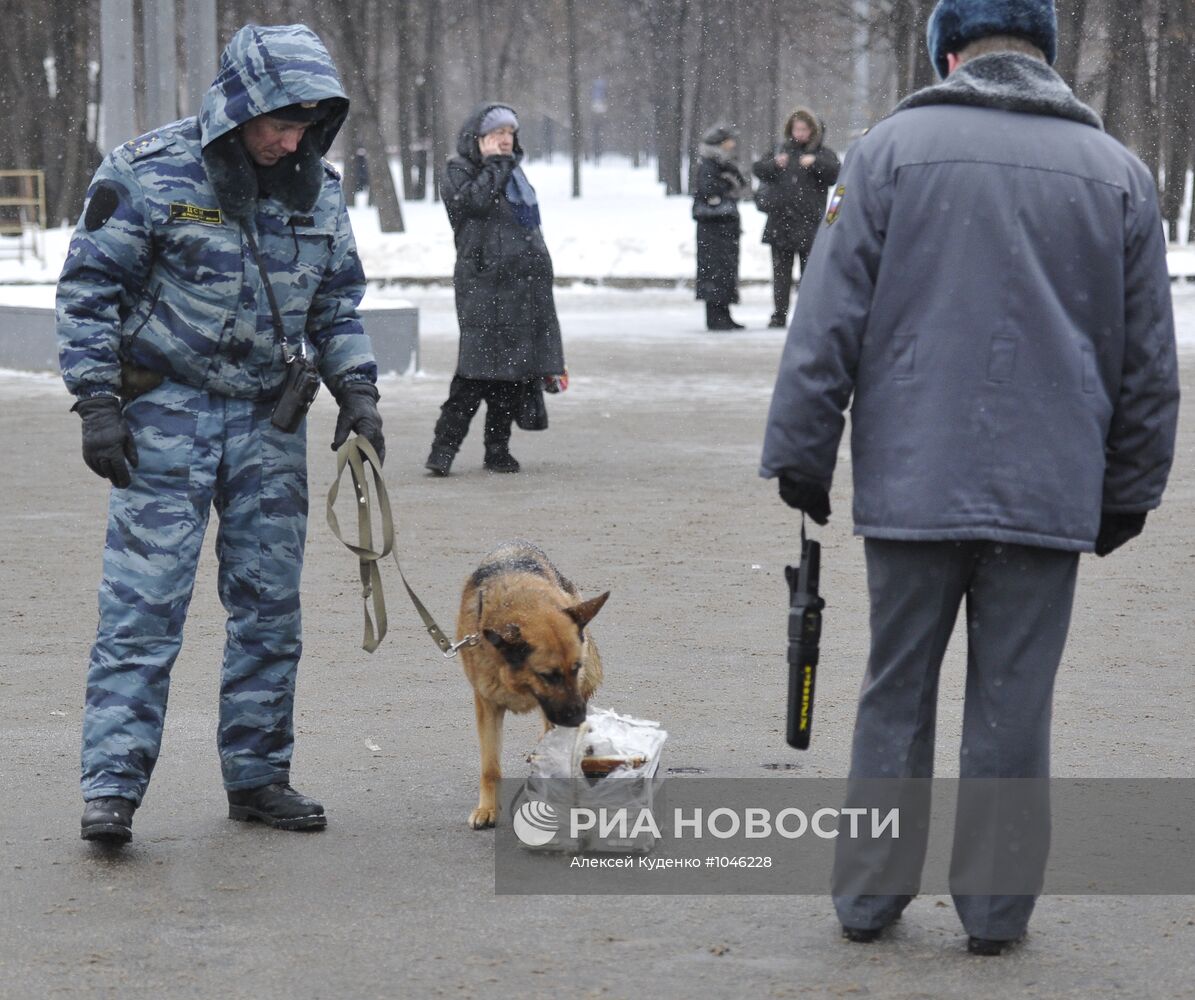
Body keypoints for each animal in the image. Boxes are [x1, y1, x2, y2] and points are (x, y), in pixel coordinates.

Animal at [454, 537, 611, 826]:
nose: (578, 718)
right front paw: (488, 809)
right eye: (548, 675)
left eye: (576, 668)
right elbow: (490, 767)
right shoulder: (487, 706)